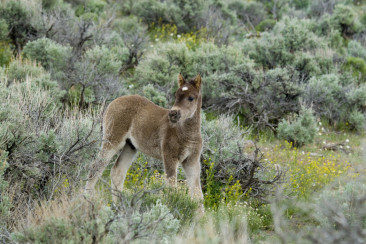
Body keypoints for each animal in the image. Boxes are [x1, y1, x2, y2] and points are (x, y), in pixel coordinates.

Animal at [86, 74, 204, 202]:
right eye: (176, 95)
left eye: (191, 98)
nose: (173, 114)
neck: (187, 133)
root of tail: (113, 102)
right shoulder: (170, 157)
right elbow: (171, 188)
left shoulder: (192, 161)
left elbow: (197, 193)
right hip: (113, 139)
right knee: (96, 166)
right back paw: (88, 199)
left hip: (130, 146)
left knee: (117, 171)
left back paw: (118, 203)